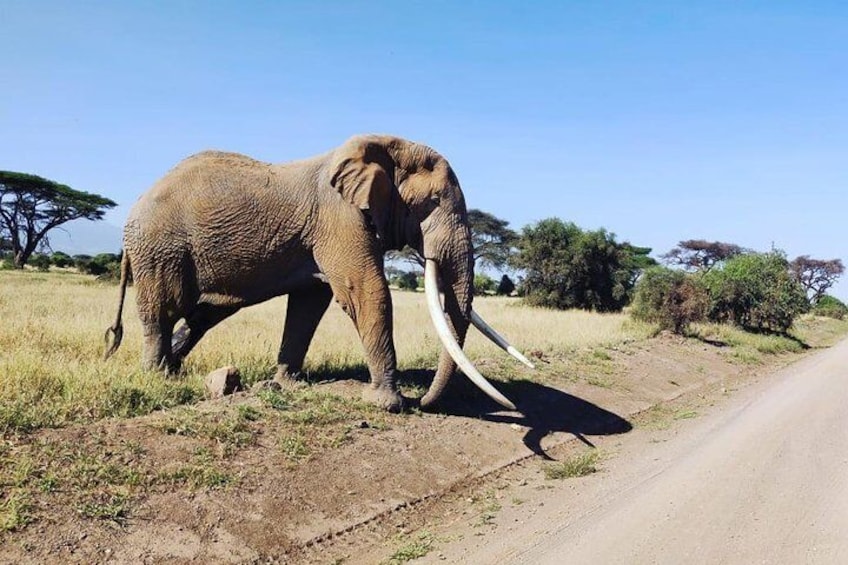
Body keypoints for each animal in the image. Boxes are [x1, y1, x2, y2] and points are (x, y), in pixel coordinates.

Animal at [104, 135, 528, 412]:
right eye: (433, 202)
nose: (421, 401)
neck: (384, 149)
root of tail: (134, 206)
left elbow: (309, 305)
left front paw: (284, 383)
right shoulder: (339, 216)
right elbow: (366, 291)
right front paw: (387, 404)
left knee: (203, 314)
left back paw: (175, 369)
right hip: (160, 248)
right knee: (165, 309)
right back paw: (158, 376)